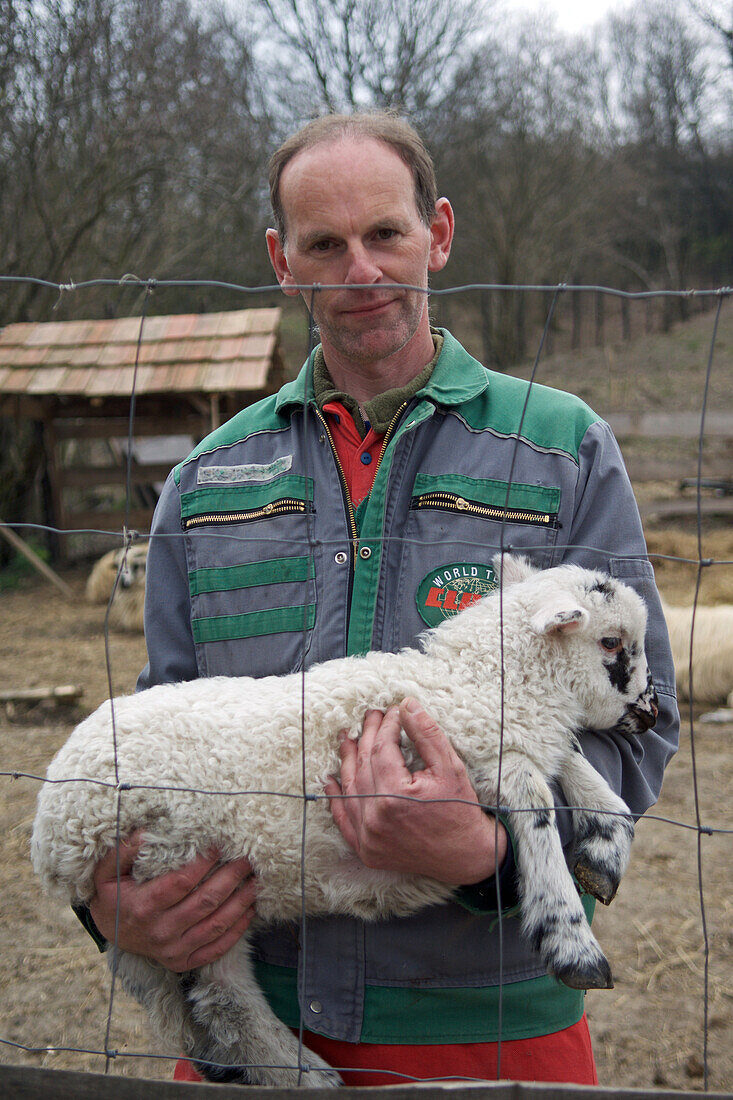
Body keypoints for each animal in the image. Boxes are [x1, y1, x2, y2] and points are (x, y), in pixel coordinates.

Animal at [31, 554, 655, 1086]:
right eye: (611, 642)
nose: (651, 713)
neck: (478, 682)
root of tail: (52, 828)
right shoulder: (479, 756)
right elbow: (537, 807)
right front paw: (573, 942)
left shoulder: (507, 741)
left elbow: (569, 758)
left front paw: (606, 842)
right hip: (172, 873)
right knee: (223, 1000)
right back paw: (304, 1073)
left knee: (192, 1002)